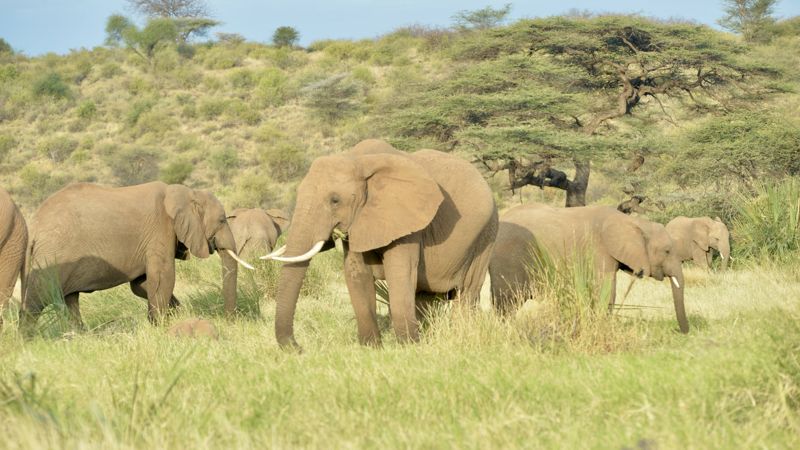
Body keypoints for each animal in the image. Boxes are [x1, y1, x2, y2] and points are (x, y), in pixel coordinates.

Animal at [21, 181, 253, 332]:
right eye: (222, 220)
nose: (231, 321)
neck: (185, 192)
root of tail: (34, 226)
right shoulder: (160, 229)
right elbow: (163, 277)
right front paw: (161, 326)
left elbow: (142, 284)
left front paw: (175, 315)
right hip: (51, 257)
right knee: (36, 300)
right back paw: (28, 339)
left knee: (70, 299)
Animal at [262, 139, 498, 348]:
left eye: (335, 200)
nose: (298, 348)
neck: (357, 160)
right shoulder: (360, 221)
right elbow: (356, 274)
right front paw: (371, 348)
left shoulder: (406, 221)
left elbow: (400, 273)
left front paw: (408, 347)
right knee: (425, 295)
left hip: (485, 236)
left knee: (466, 292)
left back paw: (461, 337)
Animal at [489, 203, 689, 333]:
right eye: (667, 251)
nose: (682, 331)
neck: (634, 222)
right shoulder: (598, 249)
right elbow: (605, 288)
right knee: (507, 302)